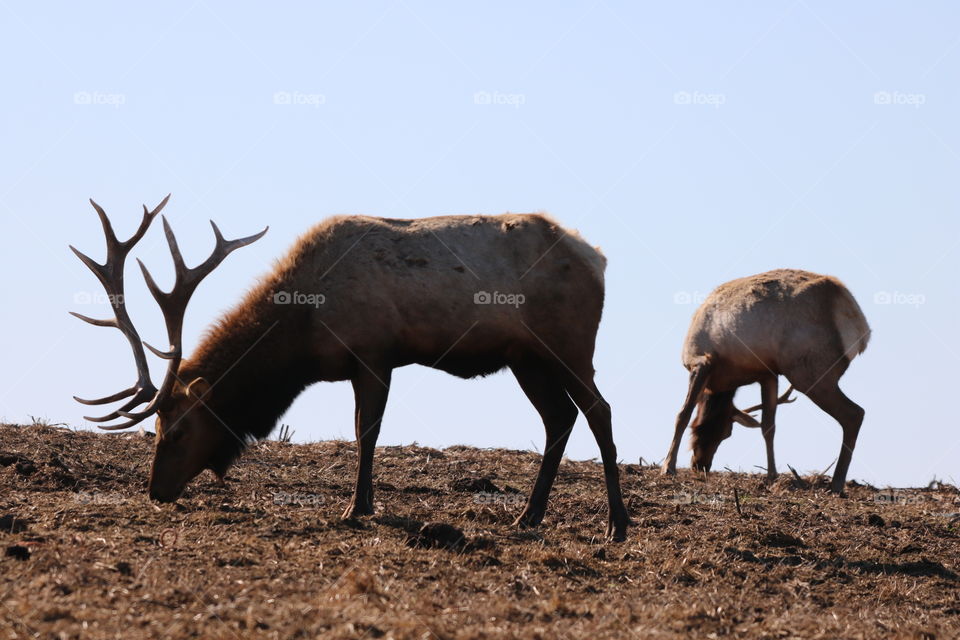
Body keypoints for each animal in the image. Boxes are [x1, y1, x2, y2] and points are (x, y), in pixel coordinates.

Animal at [73, 194, 632, 540]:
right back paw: (528, 516)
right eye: (157, 427)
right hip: (526, 359)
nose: (156, 491)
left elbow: (367, 430)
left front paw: (357, 507)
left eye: (180, 429)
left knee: (599, 410)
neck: (304, 326)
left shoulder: (373, 353)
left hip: (569, 344)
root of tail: (599, 259)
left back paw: (617, 524)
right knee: (559, 417)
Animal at [660, 268, 872, 492]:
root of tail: (859, 326)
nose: (700, 465)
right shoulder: (767, 374)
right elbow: (768, 426)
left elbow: (682, 414)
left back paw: (837, 483)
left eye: (726, 432)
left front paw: (668, 466)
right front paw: (771, 475)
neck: (723, 382)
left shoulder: (701, 361)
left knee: (854, 413)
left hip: (808, 372)